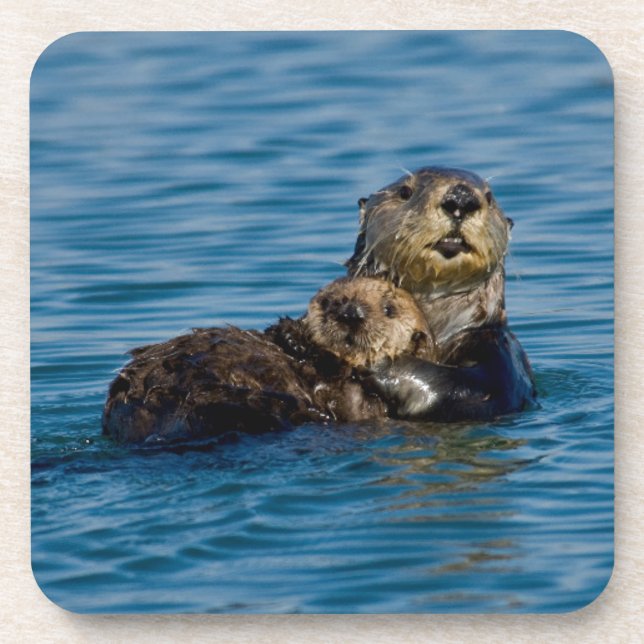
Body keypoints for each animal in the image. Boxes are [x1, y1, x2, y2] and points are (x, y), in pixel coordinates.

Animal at [346, 166, 536, 421]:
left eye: (489, 197)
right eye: (405, 191)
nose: (461, 199)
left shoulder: (503, 354)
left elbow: (471, 389)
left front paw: (378, 362)